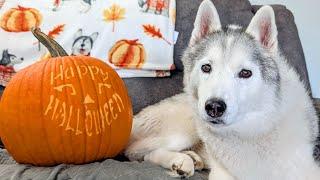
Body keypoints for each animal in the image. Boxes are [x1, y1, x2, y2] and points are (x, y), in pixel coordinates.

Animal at [125, 0, 320, 179]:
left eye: (245, 73)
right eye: (206, 68)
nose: (214, 107)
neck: (252, 130)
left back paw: (192, 158)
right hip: (185, 128)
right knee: (139, 153)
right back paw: (180, 161)